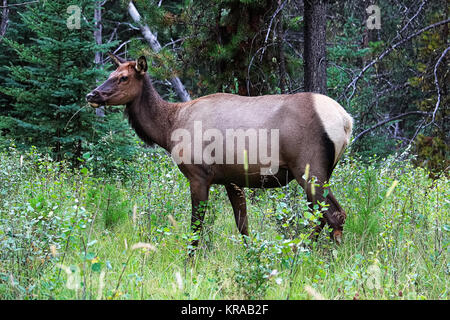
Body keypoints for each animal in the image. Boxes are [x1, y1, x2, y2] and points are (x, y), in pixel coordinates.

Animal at [87, 52, 352, 248]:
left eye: (123, 77)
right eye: (110, 74)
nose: (92, 94)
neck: (170, 129)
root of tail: (346, 121)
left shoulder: (198, 174)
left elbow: (196, 228)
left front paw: (189, 265)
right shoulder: (231, 179)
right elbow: (243, 226)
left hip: (309, 169)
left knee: (334, 215)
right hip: (320, 172)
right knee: (323, 216)